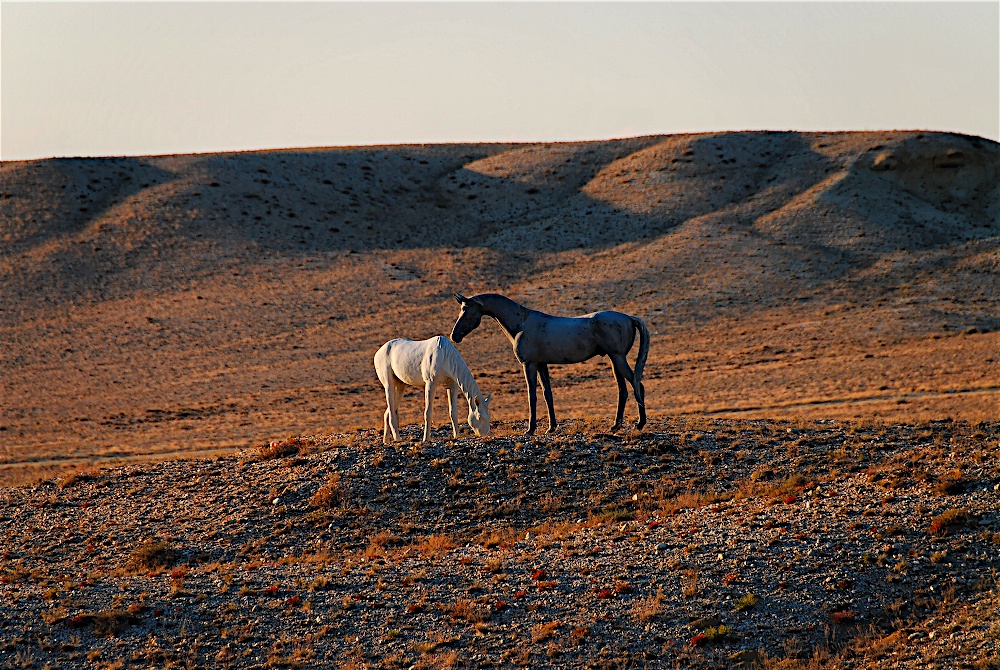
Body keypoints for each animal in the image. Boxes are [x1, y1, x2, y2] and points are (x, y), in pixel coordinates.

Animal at [451, 293, 648, 434]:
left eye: (467, 310)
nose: (454, 336)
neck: (521, 323)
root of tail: (629, 318)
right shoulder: (541, 365)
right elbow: (548, 394)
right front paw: (551, 427)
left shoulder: (529, 364)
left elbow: (532, 396)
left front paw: (530, 429)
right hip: (614, 360)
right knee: (623, 390)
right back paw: (616, 426)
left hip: (618, 357)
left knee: (637, 385)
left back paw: (640, 424)